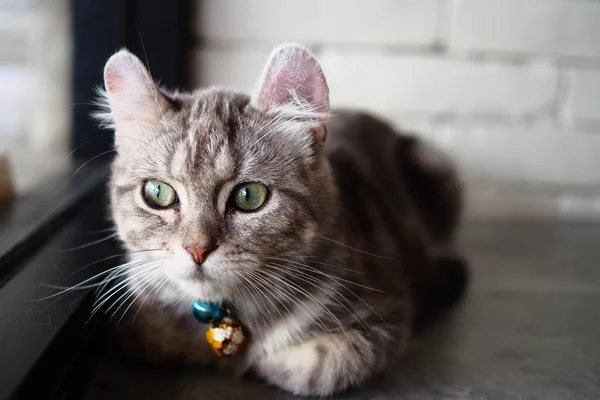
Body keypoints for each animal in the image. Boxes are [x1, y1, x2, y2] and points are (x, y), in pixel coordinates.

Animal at [96, 42, 468, 396]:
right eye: (158, 193)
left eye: (249, 196)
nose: (197, 250)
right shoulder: (133, 318)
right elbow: (151, 335)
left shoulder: (388, 311)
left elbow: (324, 364)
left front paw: (260, 362)